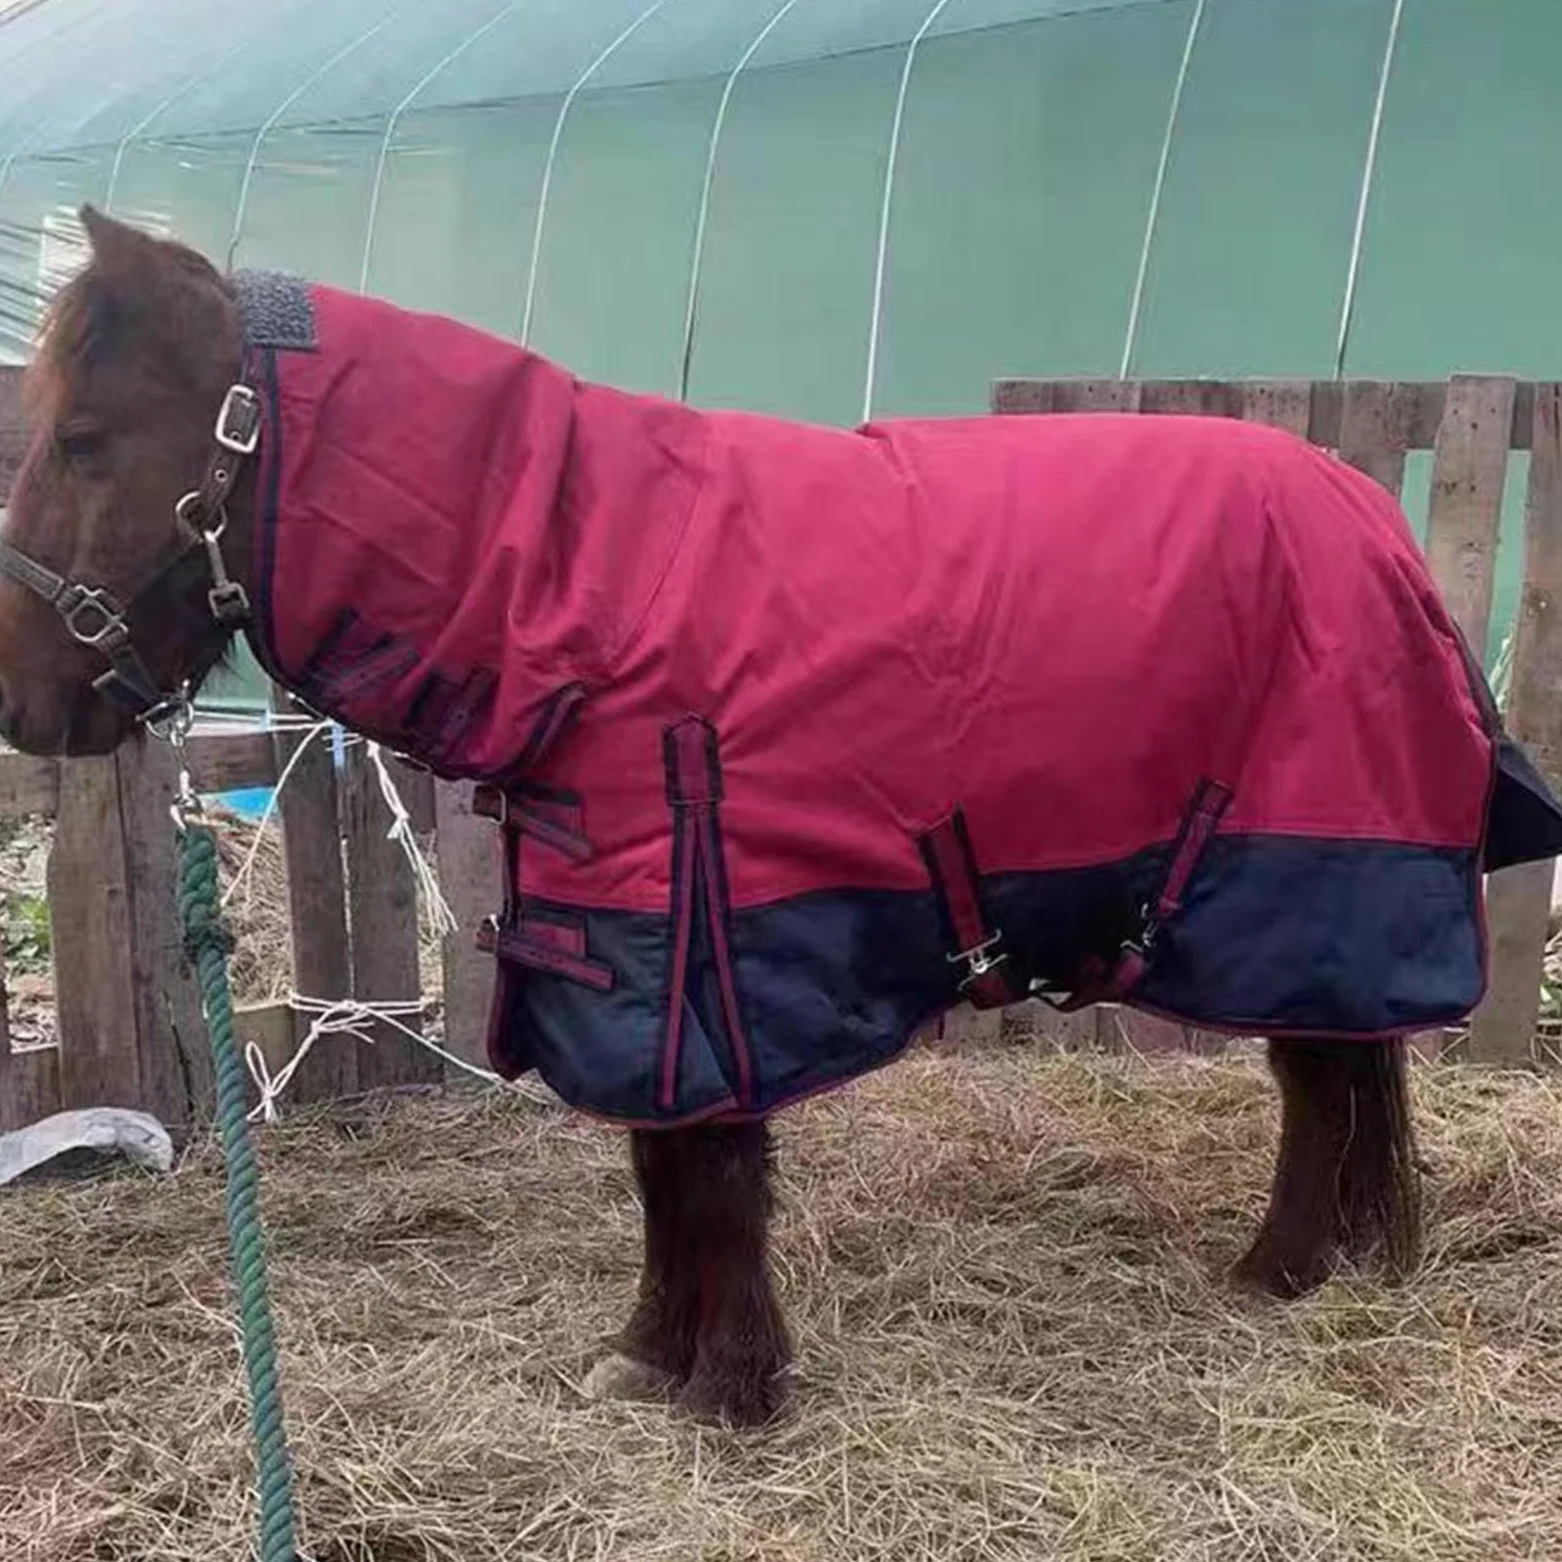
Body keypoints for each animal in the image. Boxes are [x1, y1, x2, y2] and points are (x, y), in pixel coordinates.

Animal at [2, 207, 1558, 1428]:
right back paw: (1334, 1259)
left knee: (1319, 1077)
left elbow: (717, 1170)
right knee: (1334, 1076)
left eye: (81, 438)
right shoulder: (630, 944)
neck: (589, 586)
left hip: (1304, 881)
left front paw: (732, 1380)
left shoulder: (712, 942)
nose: (26, 705)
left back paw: (1280, 1268)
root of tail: (1368, 516)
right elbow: (661, 1162)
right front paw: (653, 1356)